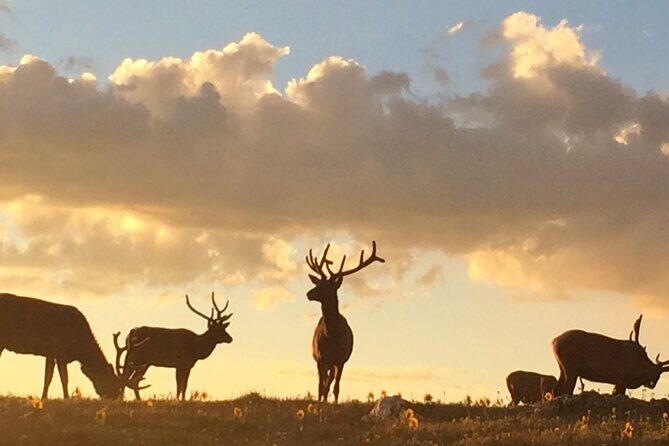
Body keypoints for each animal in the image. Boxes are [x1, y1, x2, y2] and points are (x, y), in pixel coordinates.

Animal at [0, 293, 146, 399]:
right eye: (113, 382)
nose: (115, 397)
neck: (78, 348)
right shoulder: (58, 350)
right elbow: (61, 378)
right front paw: (64, 398)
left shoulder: (52, 353)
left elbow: (52, 377)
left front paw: (46, 397)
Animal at [306, 241, 385, 403]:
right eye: (318, 283)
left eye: (328, 286)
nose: (308, 294)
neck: (332, 336)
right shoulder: (320, 358)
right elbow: (320, 385)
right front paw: (320, 402)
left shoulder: (341, 360)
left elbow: (336, 387)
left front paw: (334, 403)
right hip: (322, 361)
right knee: (324, 382)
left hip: (334, 363)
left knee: (330, 382)